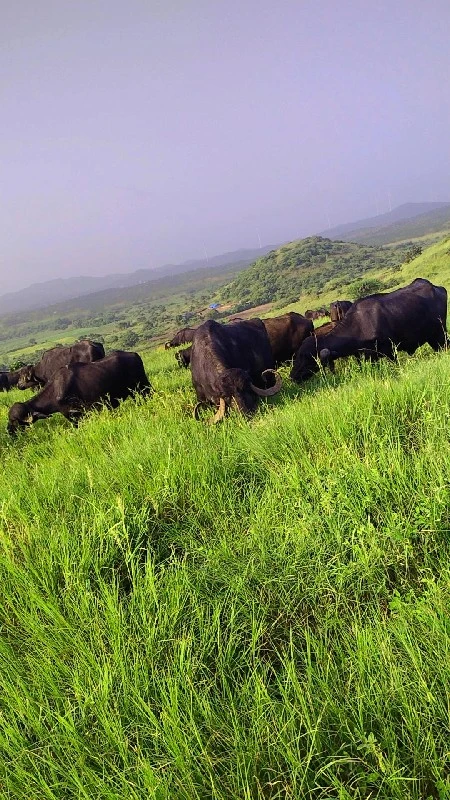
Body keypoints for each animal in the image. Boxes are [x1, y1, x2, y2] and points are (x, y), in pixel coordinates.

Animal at [7, 350, 152, 434]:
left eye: (14, 421)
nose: (9, 431)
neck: (55, 391)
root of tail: (134, 355)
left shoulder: (77, 416)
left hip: (143, 387)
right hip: (134, 392)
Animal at [290, 278, 448, 384]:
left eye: (305, 356)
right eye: (298, 354)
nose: (293, 376)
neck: (358, 327)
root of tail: (437, 288)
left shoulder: (391, 351)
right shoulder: (368, 357)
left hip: (440, 334)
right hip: (433, 338)